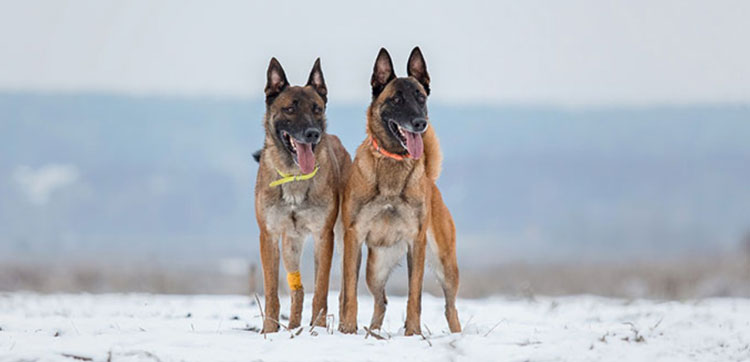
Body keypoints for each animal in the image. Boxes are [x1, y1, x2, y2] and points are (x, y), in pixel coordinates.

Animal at [256, 57, 352, 334]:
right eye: (289, 109)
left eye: (317, 109)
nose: (312, 133)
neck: (294, 176)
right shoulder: (269, 236)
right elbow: (272, 292)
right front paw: (269, 331)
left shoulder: (324, 236)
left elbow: (321, 290)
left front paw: (317, 329)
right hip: (290, 245)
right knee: (297, 290)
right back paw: (293, 327)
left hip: (343, 240)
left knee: (343, 290)